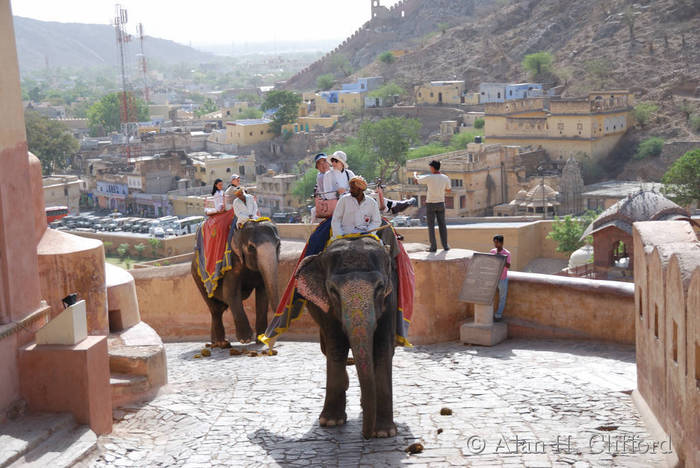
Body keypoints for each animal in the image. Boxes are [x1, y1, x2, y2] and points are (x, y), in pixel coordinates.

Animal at [295, 227, 399, 439]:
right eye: (333, 290)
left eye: (380, 287)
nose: (366, 435)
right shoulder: (327, 305)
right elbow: (336, 346)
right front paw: (331, 422)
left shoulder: (390, 298)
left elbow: (382, 348)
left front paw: (384, 432)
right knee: (327, 348)